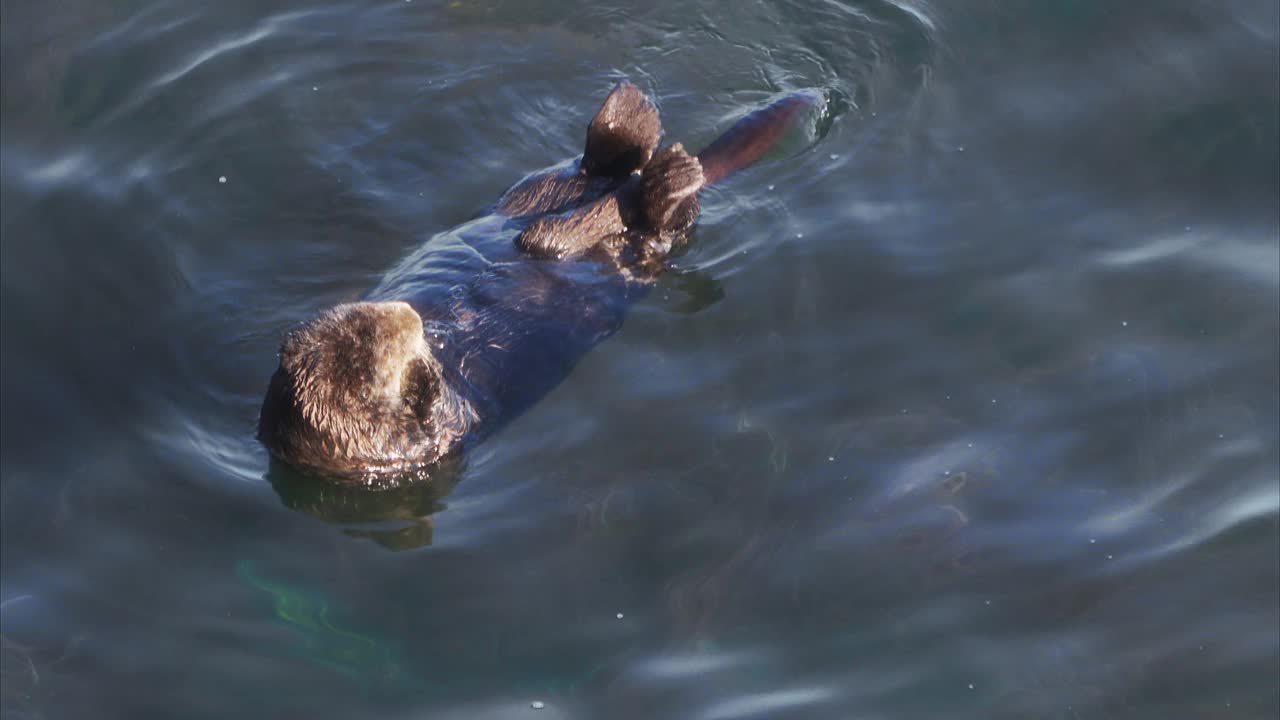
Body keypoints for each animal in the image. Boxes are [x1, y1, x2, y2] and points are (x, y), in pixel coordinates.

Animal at [262, 81, 808, 479]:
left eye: (365, 322)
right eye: (374, 349)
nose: (407, 313)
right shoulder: (427, 438)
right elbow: (436, 412)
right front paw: (425, 373)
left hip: (532, 190)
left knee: (602, 166)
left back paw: (628, 111)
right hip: (627, 244)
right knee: (639, 221)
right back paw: (670, 179)